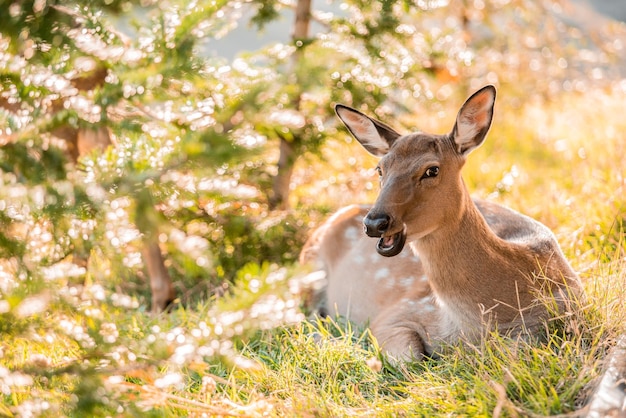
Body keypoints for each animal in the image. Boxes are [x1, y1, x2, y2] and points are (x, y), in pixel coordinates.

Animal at [300, 84, 584, 360]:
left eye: (432, 170)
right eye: (379, 169)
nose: (374, 223)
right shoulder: (395, 314)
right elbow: (411, 359)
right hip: (309, 266)